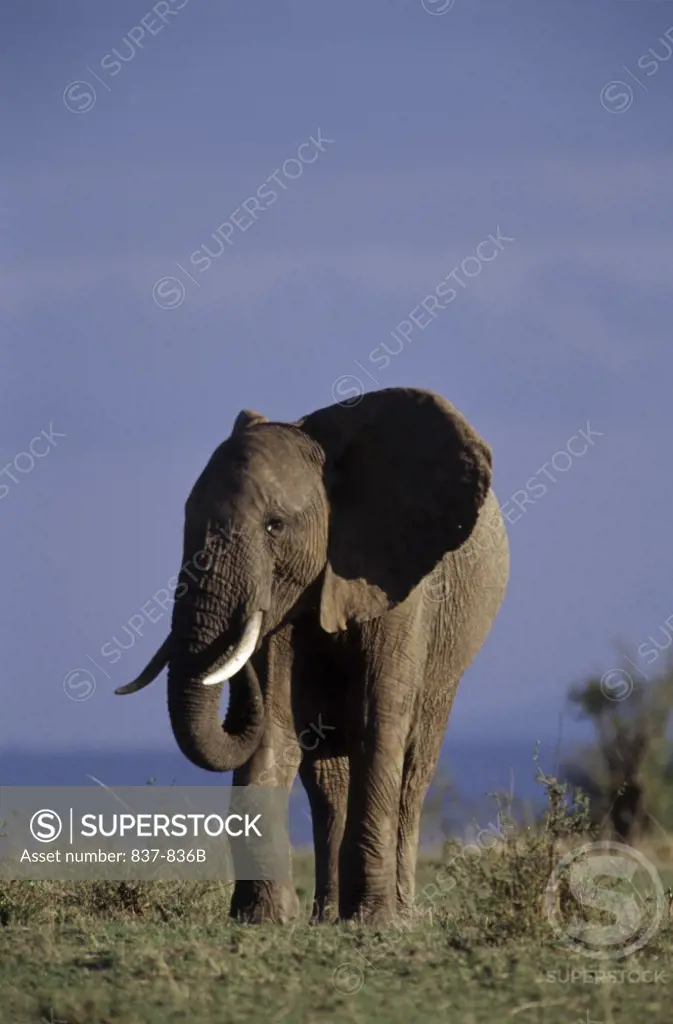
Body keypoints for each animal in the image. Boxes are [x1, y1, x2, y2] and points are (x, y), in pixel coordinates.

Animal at [118, 387, 506, 925]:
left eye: (275, 526)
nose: (235, 672)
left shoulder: (400, 582)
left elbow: (377, 718)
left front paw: (375, 923)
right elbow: (276, 725)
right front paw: (263, 919)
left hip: (448, 663)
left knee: (414, 771)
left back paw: (400, 912)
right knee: (326, 782)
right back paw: (326, 916)